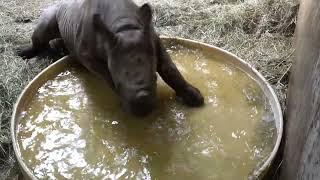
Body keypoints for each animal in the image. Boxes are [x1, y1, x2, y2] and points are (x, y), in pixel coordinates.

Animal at [17, 0, 204, 116]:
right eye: (119, 85)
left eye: (155, 79)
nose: (143, 109)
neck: (124, 27)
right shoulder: (86, 55)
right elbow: (106, 74)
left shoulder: (152, 39)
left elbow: (169, 68)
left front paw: (195, 98)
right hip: (53, 12)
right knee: (44, 29)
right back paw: (28, 53)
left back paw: (58, 50)